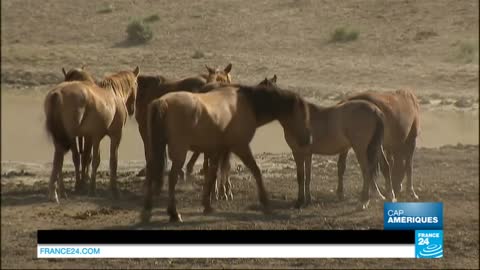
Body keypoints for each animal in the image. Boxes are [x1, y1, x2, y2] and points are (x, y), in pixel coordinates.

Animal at [43, 66, 139, 202]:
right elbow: (111, 161)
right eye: (136, 84)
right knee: (59, 159)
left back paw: (60, 192)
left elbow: (92, 159)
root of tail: (57, 93)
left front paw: (88, 186)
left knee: (59, 160)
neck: (113, 94)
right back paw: (55, 193)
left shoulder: (94, 136)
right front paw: (111, 190)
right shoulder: (115, 135)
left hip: (61, 137)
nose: (131, 110)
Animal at [260, 76, 392, 209]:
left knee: (366, 170)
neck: (298, 117)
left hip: (360, 148)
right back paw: (390, 196)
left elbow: (300, 176)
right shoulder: (308, 153)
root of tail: (375, 111)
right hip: (377, 146)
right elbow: (308, 176)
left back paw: (364, 201)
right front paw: (308, 199)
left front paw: (300, 201)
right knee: (385, 166)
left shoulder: (297, 152)